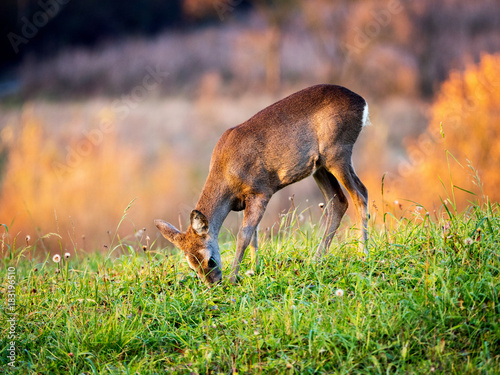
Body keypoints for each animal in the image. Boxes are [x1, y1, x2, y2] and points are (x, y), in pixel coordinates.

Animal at [154, 84, 370, 284]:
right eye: (192, 266)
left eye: (210, 260)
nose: (213, 285)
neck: (226, 173)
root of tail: (362, 102)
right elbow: (254, 235)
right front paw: (254, 269)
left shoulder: (260, 191)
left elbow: (244, 235)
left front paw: (234, 278)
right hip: (320, 166)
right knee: (339, 202)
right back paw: (317, 259)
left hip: (338, 152)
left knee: (360, 194)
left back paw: (363, 254)